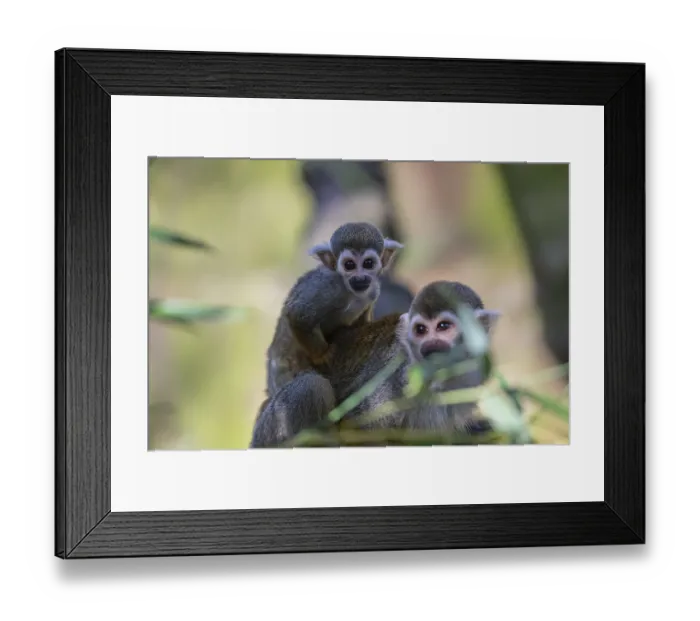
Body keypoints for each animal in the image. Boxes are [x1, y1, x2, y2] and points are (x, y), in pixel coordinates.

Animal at [263, 221, 403, 399]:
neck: (351, 291)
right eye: (349, 265)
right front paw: (323, 355)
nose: (360, 277)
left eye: (368, 263)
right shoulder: (328, 286)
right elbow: (298, 315)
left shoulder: (373, 289)